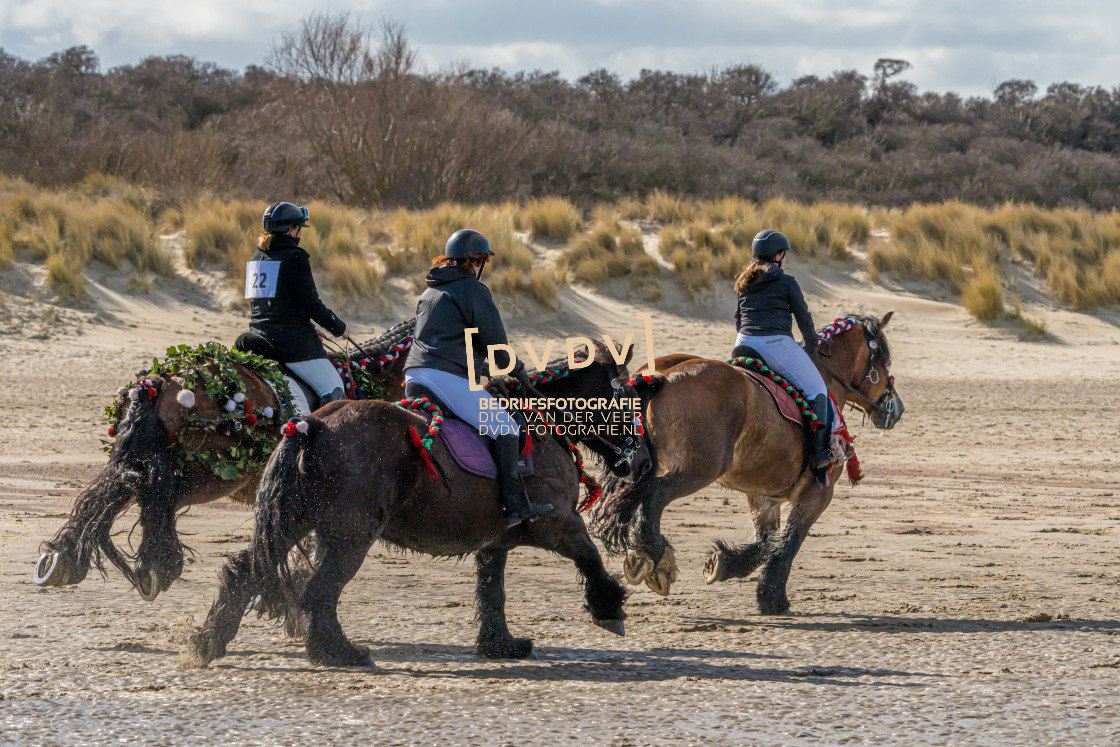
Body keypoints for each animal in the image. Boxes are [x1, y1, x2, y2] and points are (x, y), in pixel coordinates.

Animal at [33, 322, 416, 600]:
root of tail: (159, 382)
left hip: (147, 456)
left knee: (114, 489)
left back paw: (64, 558)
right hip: (210, 475)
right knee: (154, 495)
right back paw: (158, 564)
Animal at [184, 342, 654, 667]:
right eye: (626, 399)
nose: (645, 462)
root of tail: (311, 424)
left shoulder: (496, 542)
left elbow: (493, 592)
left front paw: (500, 645)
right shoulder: (559, 523)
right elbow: (590, 556)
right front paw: (609, 606)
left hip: (296, 521)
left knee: (246, 571)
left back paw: (207, 642)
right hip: (349, 536)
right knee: (318, 590)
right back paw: (338, 652)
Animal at [591, 313, 904, 618]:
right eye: (884, 361)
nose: (897, 409)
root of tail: (661, 376)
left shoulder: (762, 496)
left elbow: (767, 541)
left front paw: (724, 564)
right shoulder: (816, 495)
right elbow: (788, 543)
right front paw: (774, 599)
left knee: (636, 497)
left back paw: (644, 555)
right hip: (698, 470)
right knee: (655, 496)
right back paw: (658, 556)